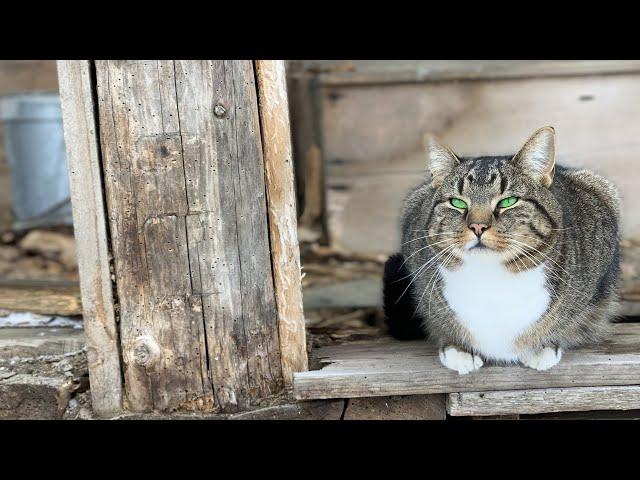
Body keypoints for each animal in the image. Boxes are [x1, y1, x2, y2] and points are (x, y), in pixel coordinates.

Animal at [384, 127, 620, 376]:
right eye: (457, 203)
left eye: (508, 201)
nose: (478, 226)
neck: (490, 279)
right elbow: (438, 319)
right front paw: (458, 349)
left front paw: (544, 346)